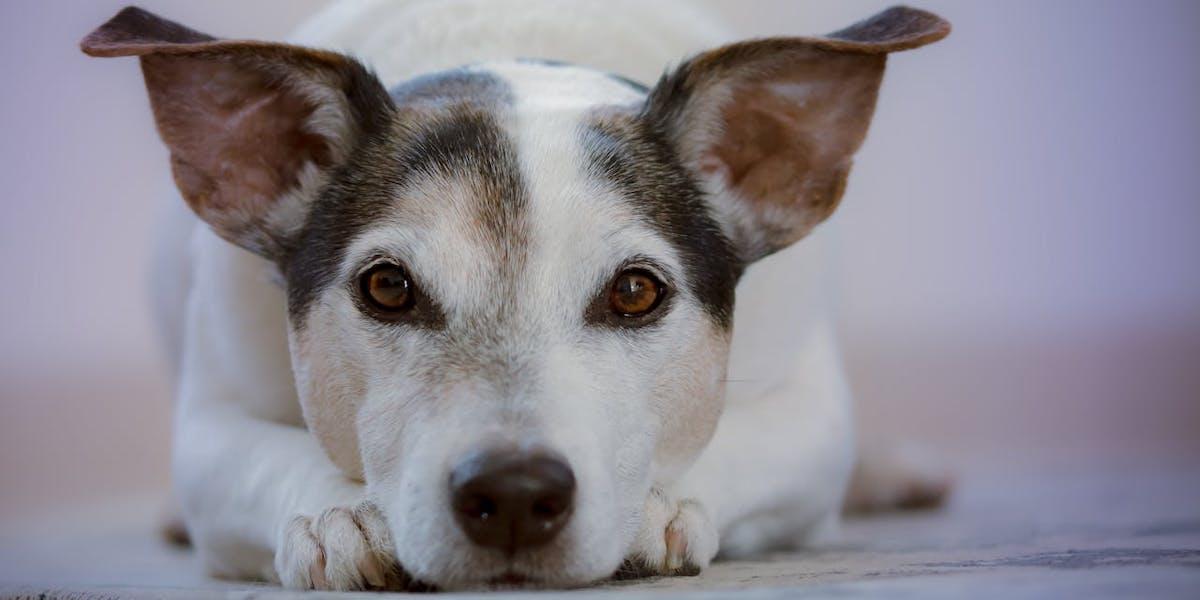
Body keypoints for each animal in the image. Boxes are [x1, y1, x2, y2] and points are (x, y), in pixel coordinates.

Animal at [79, 0, 950, 590]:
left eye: (636, 292)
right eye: (386, 287)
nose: (515, 493)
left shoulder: (811, 413)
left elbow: (743, 442)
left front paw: (658, 506)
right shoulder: (210, 421)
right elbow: (258, 456)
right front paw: (341, 515)